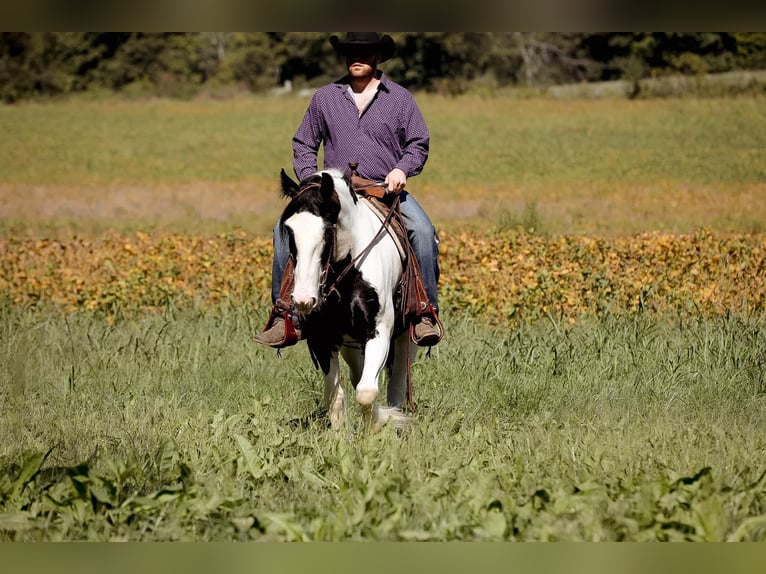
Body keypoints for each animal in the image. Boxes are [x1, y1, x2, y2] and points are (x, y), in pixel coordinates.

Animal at [280, 166, 416, 432]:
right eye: (289, 230)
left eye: (327, 229)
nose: (303, 299)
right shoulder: (321, 338)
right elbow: (335, 395)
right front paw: (340, 436)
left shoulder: (379, 330)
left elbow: (366, 391)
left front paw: (377, 425)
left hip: (407, 335)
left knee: (397, 378)